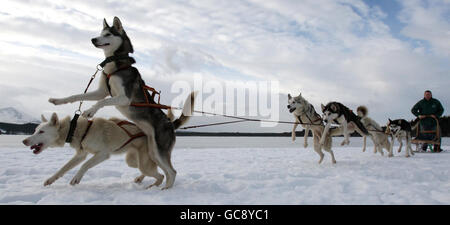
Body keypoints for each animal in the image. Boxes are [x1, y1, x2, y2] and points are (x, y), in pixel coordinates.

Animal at [22, 112, 174, 188]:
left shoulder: (102, 154)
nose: (24, 141)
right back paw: (141, 179)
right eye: (35, 130)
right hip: (132, 160)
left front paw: (76, 178)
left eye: (41, 131)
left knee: (161, 174)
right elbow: (63, 168)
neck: (78, 130)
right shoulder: (81, 154)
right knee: (154, 171)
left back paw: (156, 186)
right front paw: (50, 179)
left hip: (144, 162)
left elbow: (85, 165)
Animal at [48, 17, 195, 188]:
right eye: (100, 33)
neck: (115, 65)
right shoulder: (101, 92)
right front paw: (58, 100)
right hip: (153, 152)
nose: (93, 39)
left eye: (108, 34)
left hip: (159, 150)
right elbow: (77, 96)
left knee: (172, 172)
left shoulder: (124, 98)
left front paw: (90, 111)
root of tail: (170, 123)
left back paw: (165, 190)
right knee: (165, 172)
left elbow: (102, 102)